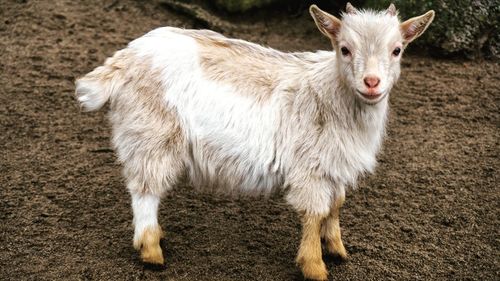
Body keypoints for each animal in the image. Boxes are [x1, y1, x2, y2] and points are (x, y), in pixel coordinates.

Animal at [75, 3, 434, 278]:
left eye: (397, 50)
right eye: (344, 49)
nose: (372, 82)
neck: (331, 93)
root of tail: (122, 61)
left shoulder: (334, 165)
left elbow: (335, 206)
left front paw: (337, 249)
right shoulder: (310, 168)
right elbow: (314, 213)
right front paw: (314, 267)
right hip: (152, 134)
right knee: (145, 191)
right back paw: (151, 251)